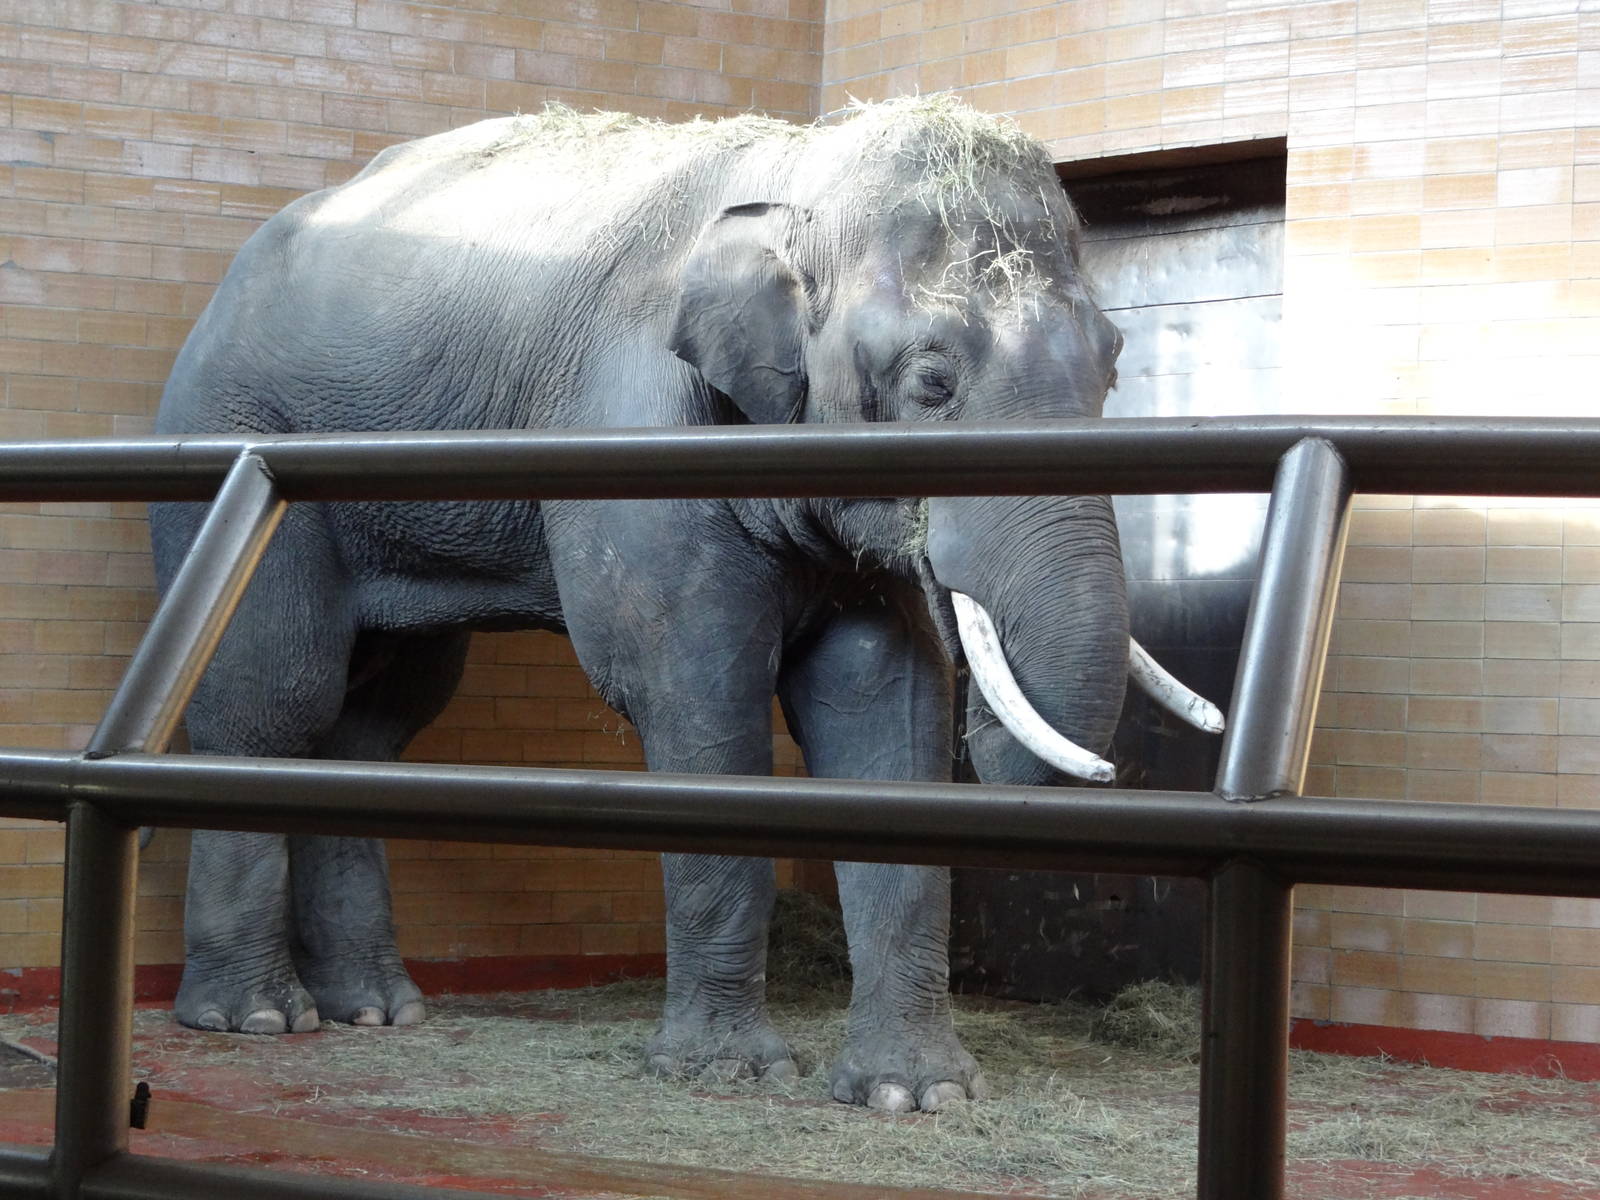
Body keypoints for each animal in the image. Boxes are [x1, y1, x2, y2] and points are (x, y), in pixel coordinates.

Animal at [149, 96, 1220, 1114]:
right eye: (932, 381)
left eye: (1114, 362)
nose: (1088, 768)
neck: (801, 178)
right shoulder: (642, 426)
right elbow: (698, 698)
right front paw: (727, 1074)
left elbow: (885, 707)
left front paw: (916, 1094)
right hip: (234, 447)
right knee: (275, 700)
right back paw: (253, 1018)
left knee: (375, 720)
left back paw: (376, 1011)